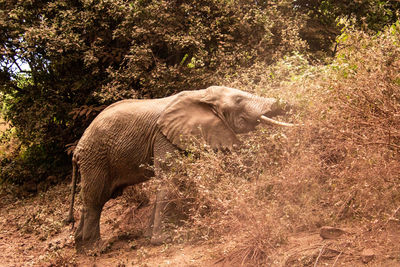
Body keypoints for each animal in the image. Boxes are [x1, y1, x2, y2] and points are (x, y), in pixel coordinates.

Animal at [65, 86, 296, 251]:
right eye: (238, 100)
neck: (201, 95)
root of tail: (77, 150)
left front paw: (150, 237)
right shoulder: (164, 136)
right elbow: (172, 178)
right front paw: (165, 240)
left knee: (89, 200)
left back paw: (82, 248)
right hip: (96, 158)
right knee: (96, 199)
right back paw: (97, 249)